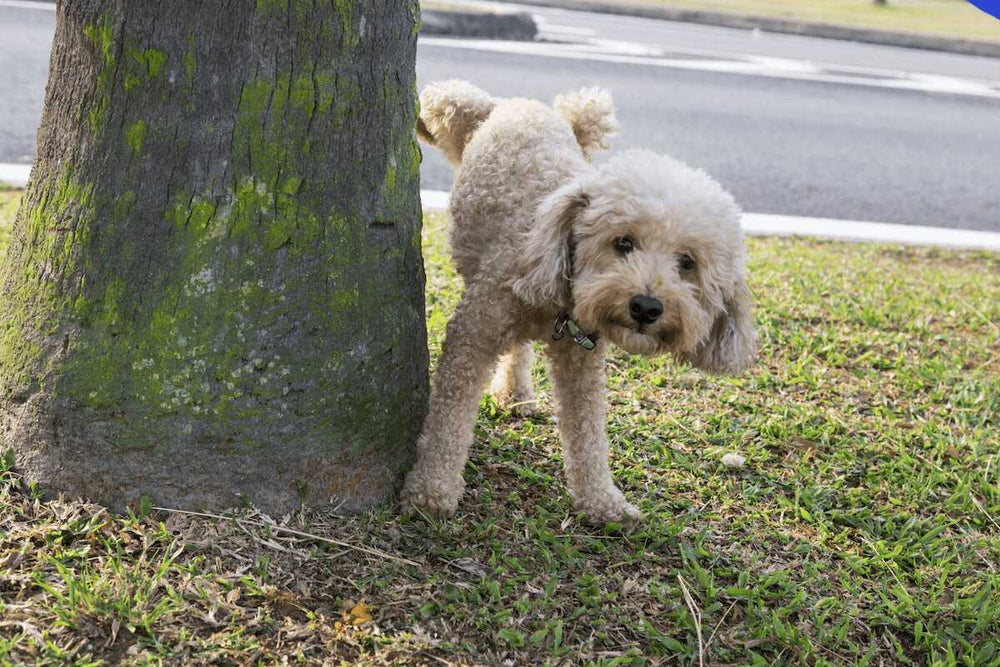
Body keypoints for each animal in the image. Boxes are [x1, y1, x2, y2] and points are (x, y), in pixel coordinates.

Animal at [402, 81, 752, 524]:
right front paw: (431, 489)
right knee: (446, 96)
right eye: (623, 242)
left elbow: (587, 433)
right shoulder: (473, 334)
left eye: (687, 263)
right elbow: (449, 419)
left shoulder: (581, 360)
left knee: (519, 350)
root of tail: (519, 104)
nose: (646, 307)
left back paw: (516, 393)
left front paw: (602, 500)